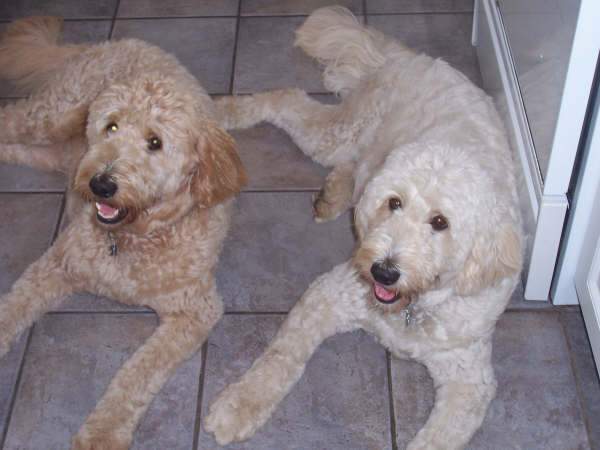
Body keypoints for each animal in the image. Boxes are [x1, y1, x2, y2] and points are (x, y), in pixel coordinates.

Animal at [0, 15, 246, 448]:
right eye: (111, 126)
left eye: (155, 142)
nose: (100, 184)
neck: (131, 239)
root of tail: (105, 43)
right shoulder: (56, 264)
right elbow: (13, 306)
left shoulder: (195, 310)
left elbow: (137, 372)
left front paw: (102, 431)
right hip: (49, 118)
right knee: (7, 118)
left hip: (52, 152)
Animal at [207, 7, 524, 450]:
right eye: (394, 203)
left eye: (440, 222)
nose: (383, 271)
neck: (411, 309)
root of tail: (407, 58)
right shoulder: (329, 294)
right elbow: (279, 358)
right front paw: (238, 406)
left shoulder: (469, 380)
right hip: (338, 134)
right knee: (288, 98)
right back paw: (224, 113)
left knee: (351, 165)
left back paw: (335, 194)